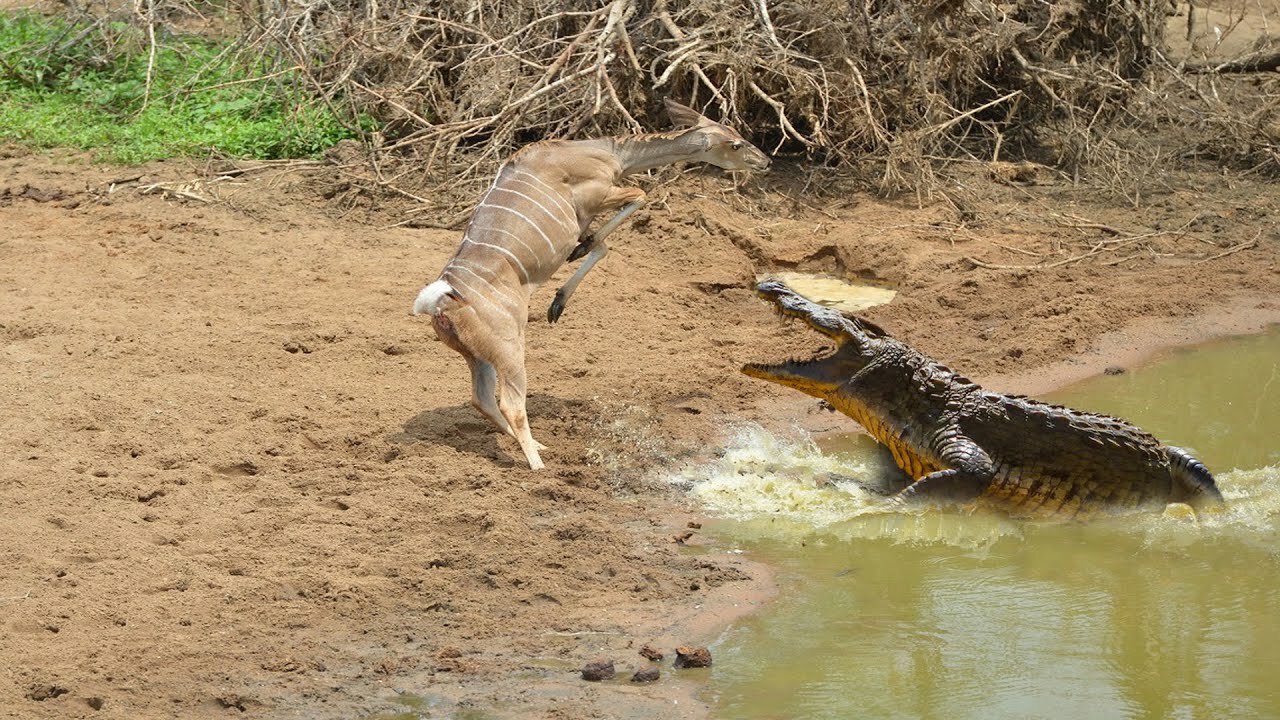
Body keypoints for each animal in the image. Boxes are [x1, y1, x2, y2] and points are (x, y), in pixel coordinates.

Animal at [409, 99, 768, 471]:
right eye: (735, 144)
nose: (765, 162)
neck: (605, 151)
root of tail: (442, 302)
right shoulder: (600, 195)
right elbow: (638, 197)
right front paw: (561, 294)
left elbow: (599, 246)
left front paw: (558, 301)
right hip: (509, 345)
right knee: (510, 402)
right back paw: (538, 465)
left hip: (477, 355)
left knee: (481, 399)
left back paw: (539, 445)